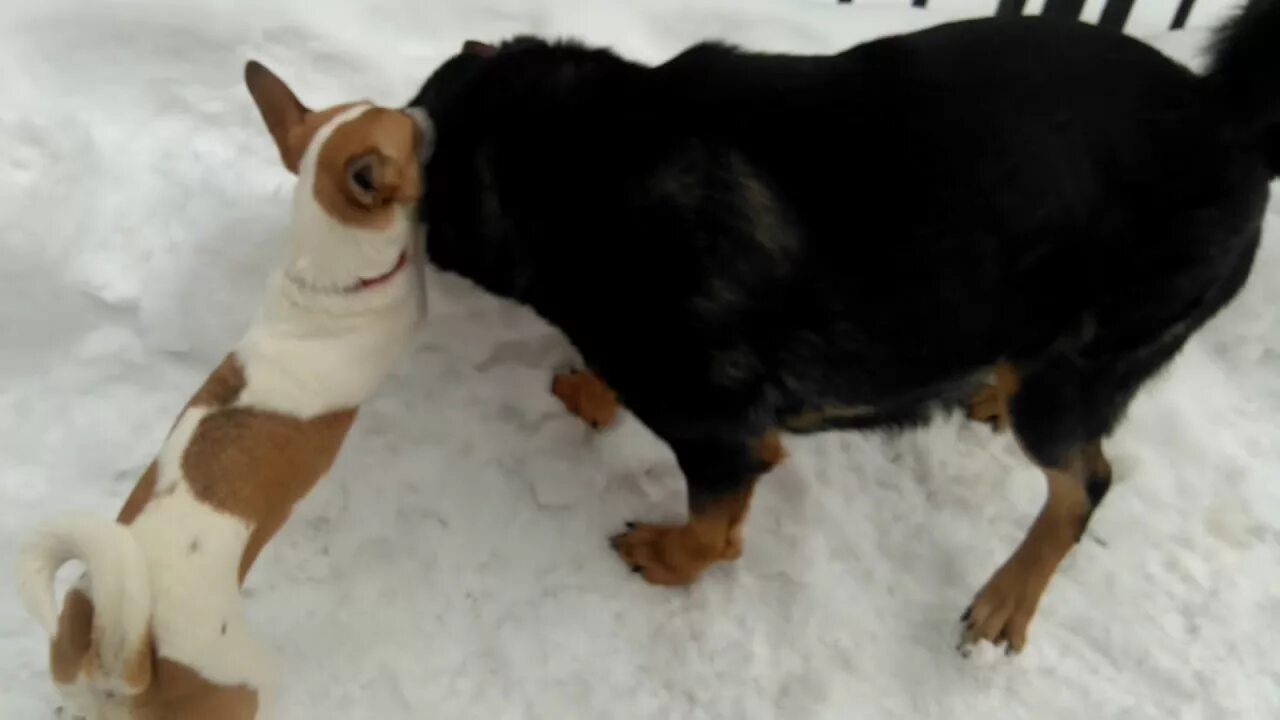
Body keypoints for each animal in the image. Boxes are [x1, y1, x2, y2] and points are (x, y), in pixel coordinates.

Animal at [412, 1, 1280, 650]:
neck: (575, 154)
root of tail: (1233, 121)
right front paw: (592, 391)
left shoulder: (720, 433)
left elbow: (712, 527)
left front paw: (670, 557)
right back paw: (989, 392)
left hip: (1080, 372)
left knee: (1086, 483)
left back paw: (1007, 599)